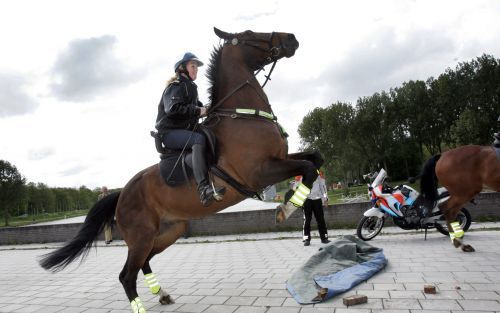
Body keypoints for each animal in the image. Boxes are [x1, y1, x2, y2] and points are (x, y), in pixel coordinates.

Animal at [38, 27, 320, 312]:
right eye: (250, 33)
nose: (291, 38)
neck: (242, 115)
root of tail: (122, 193)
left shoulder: (279, 159)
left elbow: (314, 160)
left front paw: (290, 200)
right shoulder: (260, 172)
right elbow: (308, 168)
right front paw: (286, 208)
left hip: (168, 231)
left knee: (143, 263)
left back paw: (162, 293)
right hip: (142, 236)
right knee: (126, 274)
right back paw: (140, 306)